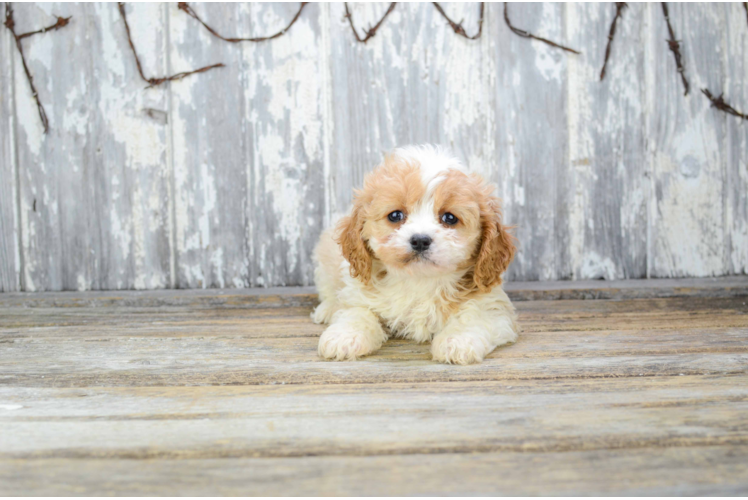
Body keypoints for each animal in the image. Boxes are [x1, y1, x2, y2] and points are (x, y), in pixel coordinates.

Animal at [312, 145, 516, 364]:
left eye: (449, 218)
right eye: (395, 215)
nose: (420, 240)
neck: (419, 280)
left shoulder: (493, 306)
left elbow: (474, 317)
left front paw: (457, 342)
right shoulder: (357, 294)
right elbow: (357, 313)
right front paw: (344, 337)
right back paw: (326, 309)